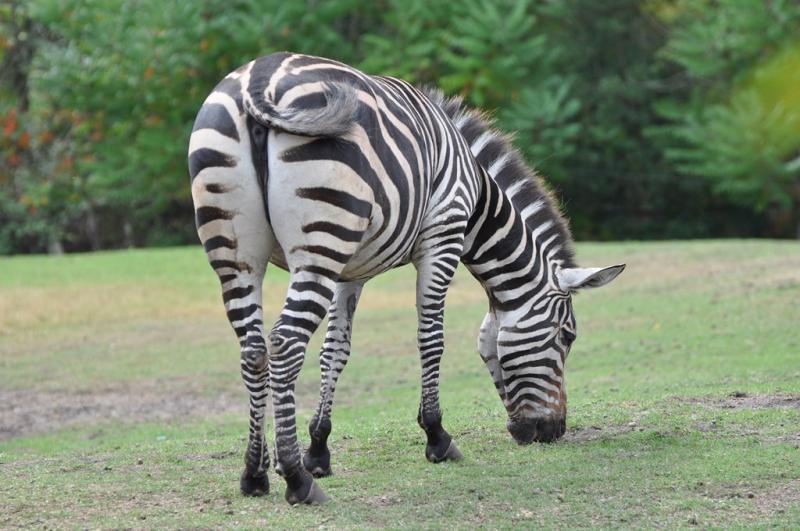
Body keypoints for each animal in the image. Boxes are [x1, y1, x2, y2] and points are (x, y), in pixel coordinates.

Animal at [188, 52, 624, 505]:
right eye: (567, 336)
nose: (552, 432)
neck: (477, 196)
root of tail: (260, 78)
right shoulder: (442, 238)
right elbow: (431, 339)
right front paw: (437, 437)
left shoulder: (349, 272)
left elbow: (335, 351)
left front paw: (319, 449)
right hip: (321, 241)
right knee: (285, 344)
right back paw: (295, 480)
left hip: (239, 253)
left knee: (254, 350)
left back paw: (255, 474)